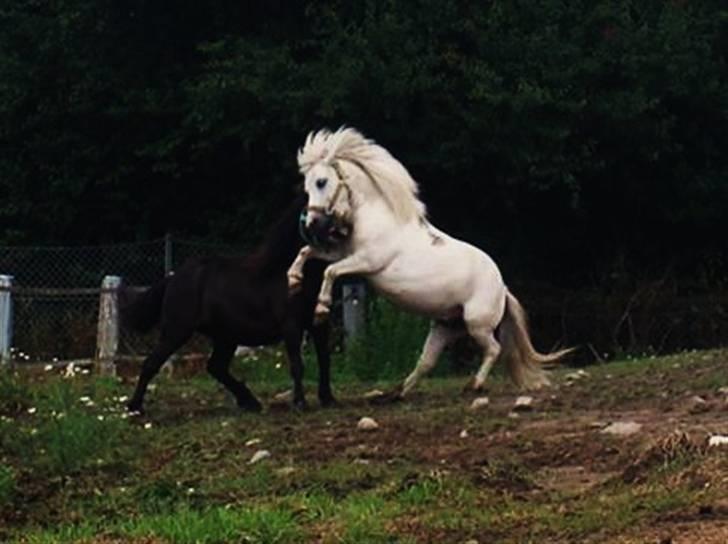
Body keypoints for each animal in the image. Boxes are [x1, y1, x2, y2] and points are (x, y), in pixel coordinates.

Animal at [120, 194, 336, 414]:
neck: (289, 273)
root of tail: (172, 277)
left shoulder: (320, 323)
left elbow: (324, 359)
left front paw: (328, 399)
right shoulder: (291, 325)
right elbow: (297, 364)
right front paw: (300, 403)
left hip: (225, 336)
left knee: (215, 367)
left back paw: (250, 401)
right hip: (177, 330)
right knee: (151, 363)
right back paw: (134, 407)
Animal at [287, 127, 572, 397]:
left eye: (322, 182)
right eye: (306, 187)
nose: (311, 225)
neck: (379, 217)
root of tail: (502, 289)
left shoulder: (367, 262)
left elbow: (331, 271)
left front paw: (321, 309)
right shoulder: (345, 253)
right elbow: (307, 253)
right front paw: (293, 280)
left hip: (477, 324)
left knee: (494, 349)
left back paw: (474, 385)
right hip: (445, 326)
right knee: (427, 361)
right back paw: (398, 392)